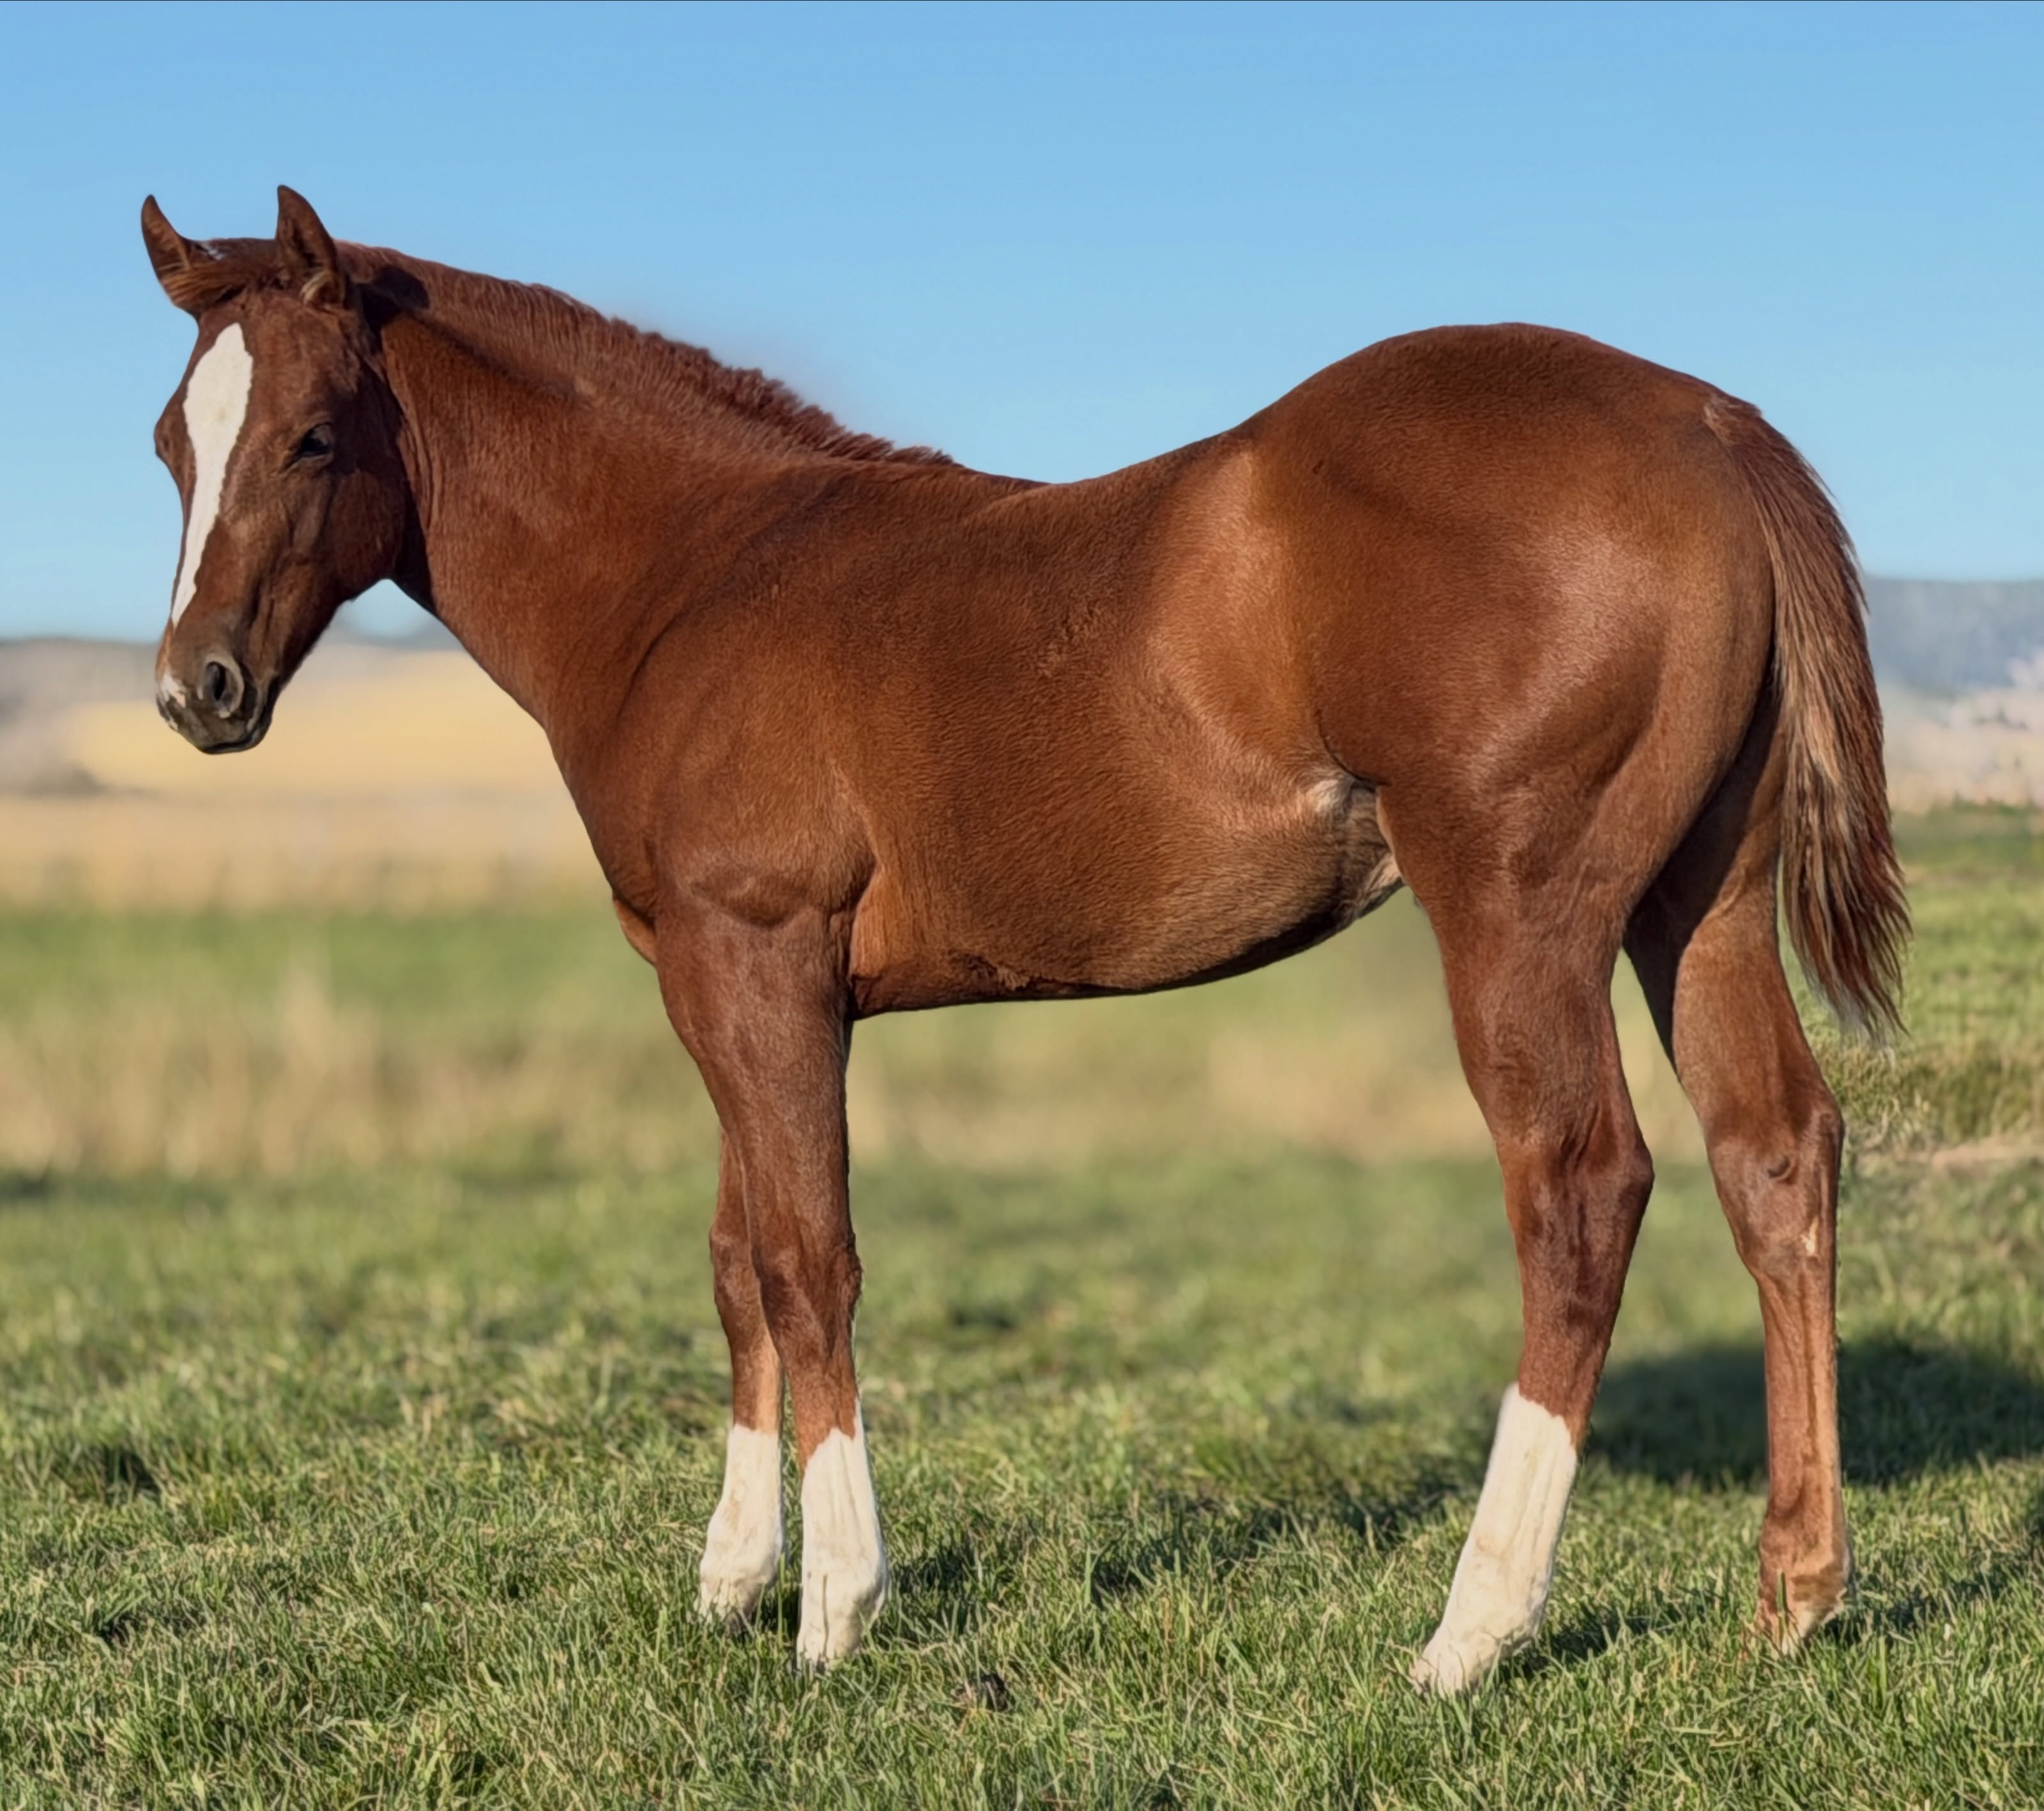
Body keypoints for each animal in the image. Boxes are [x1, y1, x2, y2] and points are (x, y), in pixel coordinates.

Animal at [139, 186, 1906, 1690]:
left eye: (310, 436)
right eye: (171, 443)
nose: (195, 690)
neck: (697, 579)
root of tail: (1708, 426)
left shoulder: (765, 963)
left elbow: (811, 1262)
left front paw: (835, 1608)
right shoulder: (716, 985)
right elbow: (735, 1258)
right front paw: (730, 1581)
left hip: (1517, 907)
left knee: (1580, 1189)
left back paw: (1470, 1632)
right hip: (1696, 905)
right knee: (1775, 1156)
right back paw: (1795, 1596)